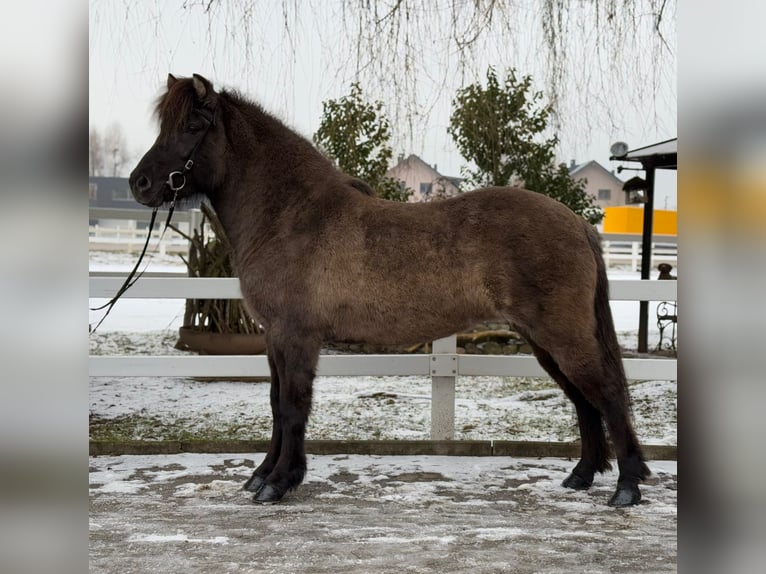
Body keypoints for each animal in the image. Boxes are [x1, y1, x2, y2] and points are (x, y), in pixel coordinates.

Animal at [129, 73, 652, 508]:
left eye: (192, 126)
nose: (140, 183)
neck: (292, 216)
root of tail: (577, 224)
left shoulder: (295, 337)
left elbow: (293, 407)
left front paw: (279, 483)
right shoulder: (274, 339)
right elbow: (276, 405)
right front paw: (262, 475)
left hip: (562, 336)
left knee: (605, 392)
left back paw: (627, 486)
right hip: (544, 341)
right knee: (583, 398)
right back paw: (581, 476)